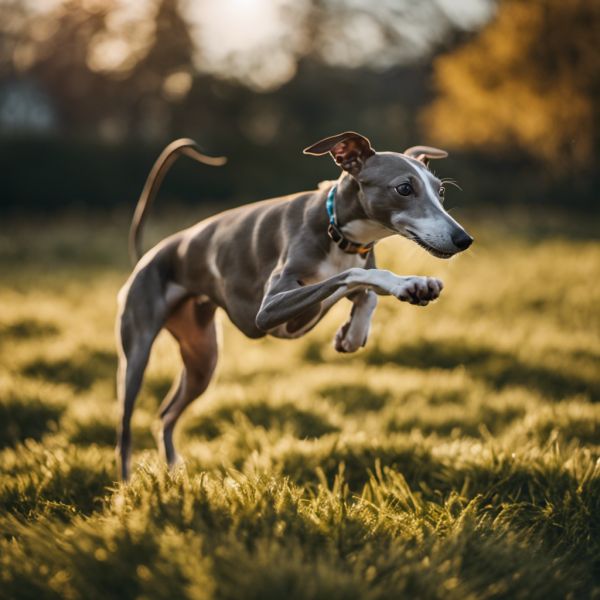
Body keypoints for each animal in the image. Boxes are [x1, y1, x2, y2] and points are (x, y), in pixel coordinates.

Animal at [116, 130, 474, 478]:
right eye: (404, 188)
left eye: (441, 192)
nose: (464, 240)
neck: (337, 230)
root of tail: (149, 255)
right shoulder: (268, 310)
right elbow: (354, 276)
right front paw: (405, 283)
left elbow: (363, 289)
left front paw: (353, 333)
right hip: (137, 357)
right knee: (126, 432)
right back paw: (128, 486)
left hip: (203, 359)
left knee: (166, 414)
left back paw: (173, 473)